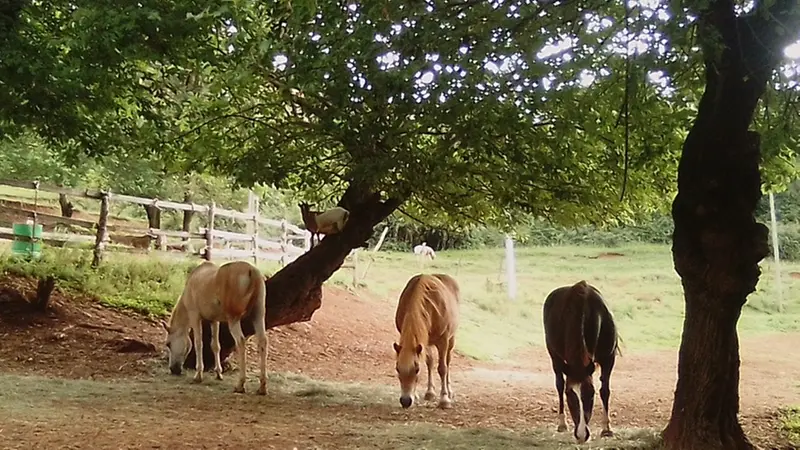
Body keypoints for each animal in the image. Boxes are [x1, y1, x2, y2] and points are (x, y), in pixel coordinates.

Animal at [162, 260, 268, 394]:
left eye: (168, 344)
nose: (173, 369)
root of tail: (252, 271)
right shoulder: (214, 320)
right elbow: (215, 346)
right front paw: (218, 373)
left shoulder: (195, 316)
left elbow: (198, 344)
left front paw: (198, 375)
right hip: (258, 315)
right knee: (262, 342)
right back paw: (262, 387)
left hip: (233, 319)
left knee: (241, 342)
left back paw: (240, 384)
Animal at [392, 272, 460, 410]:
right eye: (397, 369)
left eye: (417, 370)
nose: (405, 401)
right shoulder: (423, 341)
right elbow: (429, 362)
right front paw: (421, 394)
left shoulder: (443, 340)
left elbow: (442, 368)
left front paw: (444, 399)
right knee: (430, 362)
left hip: (451, 340)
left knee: (448, 362)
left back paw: (449, 391)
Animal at [540, 280, 620, 444]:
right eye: (569, 395)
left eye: (591, 394)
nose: (582, 435)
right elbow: (561, 386)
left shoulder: (609, 358)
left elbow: (605, 390)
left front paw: (606, 429)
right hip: (554, 356)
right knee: (559, 383)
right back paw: (562, 423)